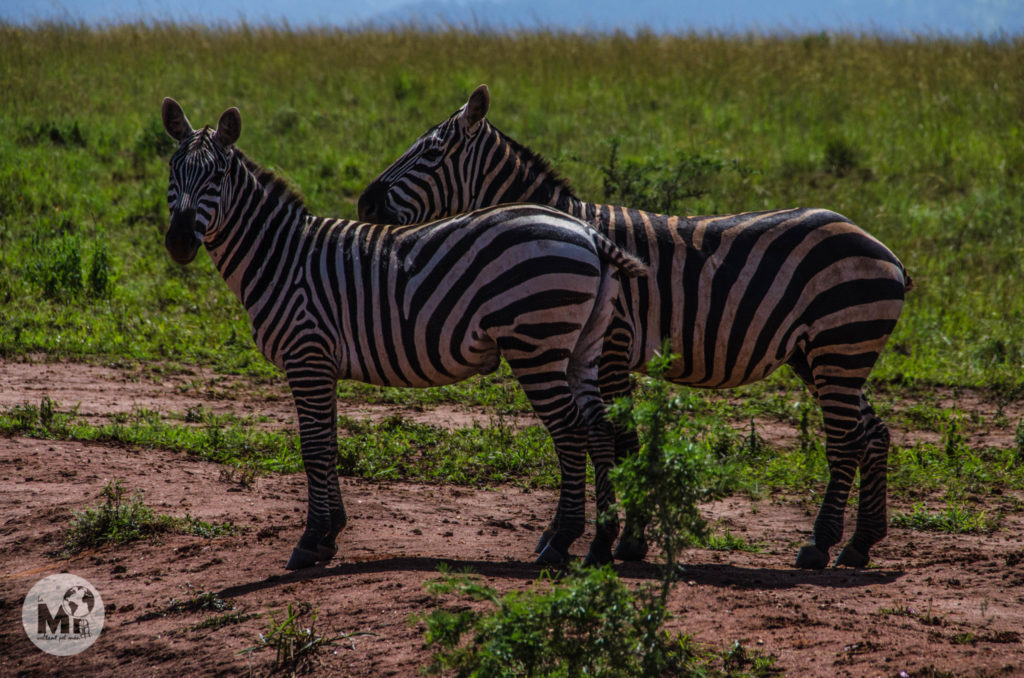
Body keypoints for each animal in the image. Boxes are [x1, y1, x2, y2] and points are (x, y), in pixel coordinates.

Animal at [159, 98, 643, 569]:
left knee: (571, 431)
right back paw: (601, 544)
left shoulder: (306, 355)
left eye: (218, 176)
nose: (179, 242)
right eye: (172, 171)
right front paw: (331, 532)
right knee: (600, 428)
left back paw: (561, 542)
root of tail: (589, 232)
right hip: (582, 347)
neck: (280, 256)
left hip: (536, 342)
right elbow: (329, 444)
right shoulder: (321, 365)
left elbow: (313, 446)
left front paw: (311, 540)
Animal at [354, 86, 913, 573]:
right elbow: (612, 438)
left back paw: (820, 544)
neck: (572, 230)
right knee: (873, 433)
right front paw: (602, 536)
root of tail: (882, 248)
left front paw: (625, 540)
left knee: (845, 440)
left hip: (840, 343)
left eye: (431, 152)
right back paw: (861, 543)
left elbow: (622, 439)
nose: (364, 205)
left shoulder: (612, 347)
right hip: (821, 354)